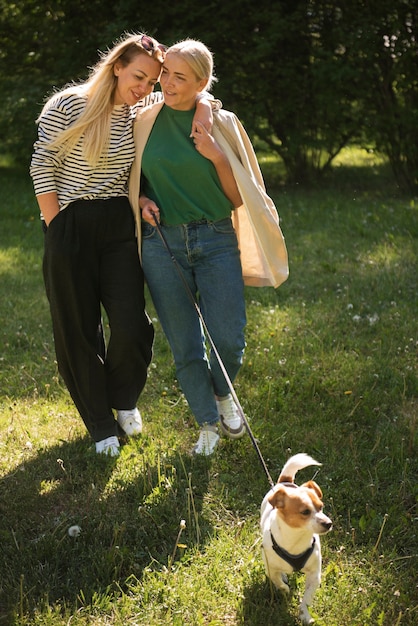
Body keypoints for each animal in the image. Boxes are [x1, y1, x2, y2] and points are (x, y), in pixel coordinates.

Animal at [260, 450, 332, 620]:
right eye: (305, 512)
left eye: (321, 507)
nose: (328, 523)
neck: (297, 539)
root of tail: (285, 482)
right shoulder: (270, 569)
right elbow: (278, 581)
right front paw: (285, 589)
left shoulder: (314, 575)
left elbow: (307, 598)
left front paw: (305, 615)